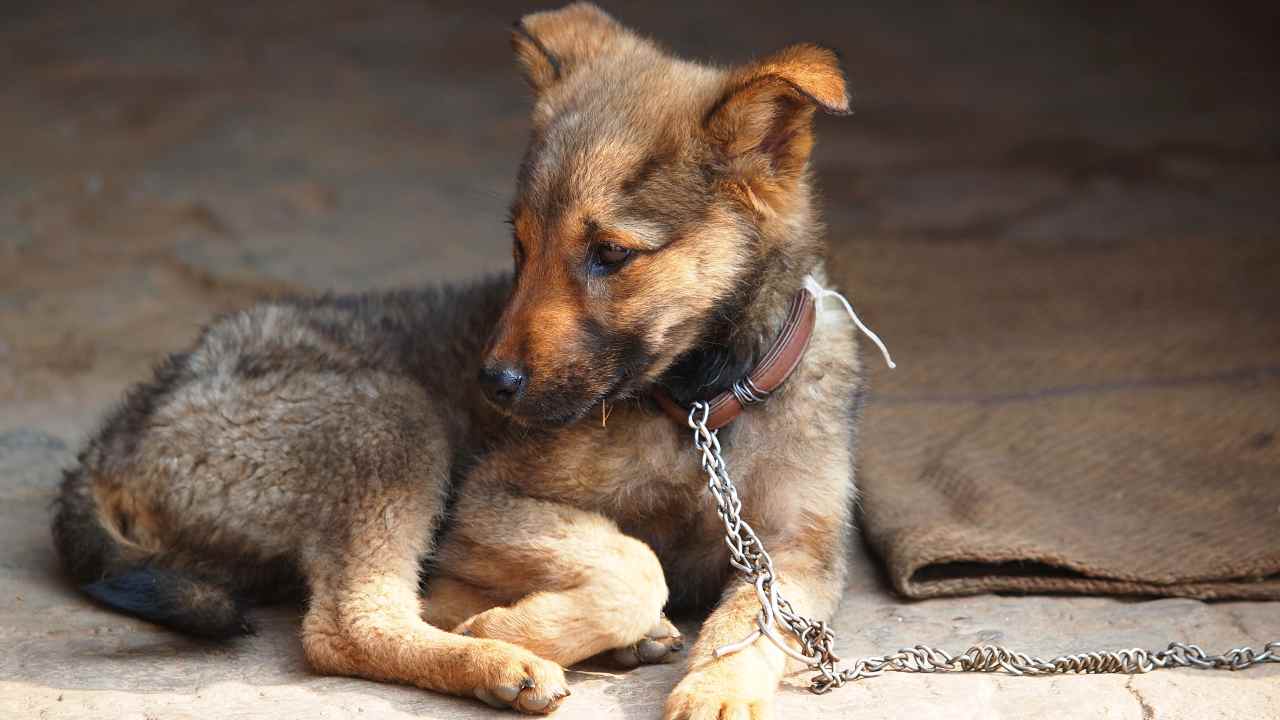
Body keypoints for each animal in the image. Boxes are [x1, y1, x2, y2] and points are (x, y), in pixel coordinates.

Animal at [55, 2, 865, 712]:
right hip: (389, 421)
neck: (701, 403)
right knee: (349, 624)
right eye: (521, 245)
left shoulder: (798, 550)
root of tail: (119, 430)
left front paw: (716, 692)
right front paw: (518, 629)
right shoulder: (491, 496)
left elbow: (751, 625)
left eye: (610, 254)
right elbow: (635, 563)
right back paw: (501, 658)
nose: (493, 384)